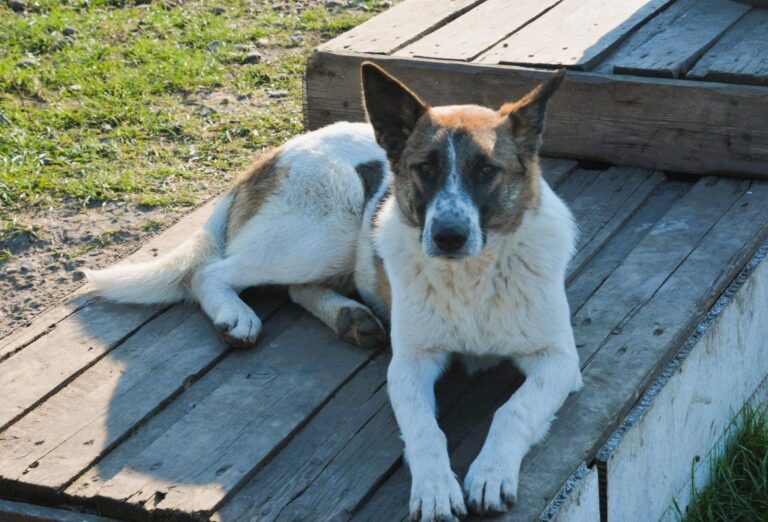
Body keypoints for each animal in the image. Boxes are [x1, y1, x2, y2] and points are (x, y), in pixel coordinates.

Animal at [85, 63, 584, 516]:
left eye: (486, 171)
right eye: (425, 168)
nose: (447, 237)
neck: (472, 275)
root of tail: (271, 154)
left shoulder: (560, 362)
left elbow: (512, 411)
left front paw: (491, 471)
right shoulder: (409, 365)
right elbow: (426, 430)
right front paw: (435, 488)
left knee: (293, 288)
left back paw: (350, 317)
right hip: (328, 226)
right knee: (209, 273)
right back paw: (237, 316)